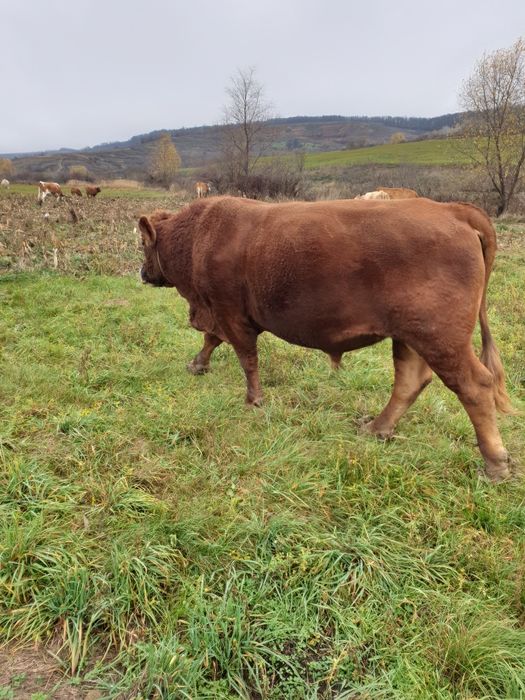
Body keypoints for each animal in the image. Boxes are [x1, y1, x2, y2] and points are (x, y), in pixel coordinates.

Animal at [138, 196, 513, 482]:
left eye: (142, 245)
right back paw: (376, 429)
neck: (200, 236)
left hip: (442, 339)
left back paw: (495, 464)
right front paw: (197, 365)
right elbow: (212, 341)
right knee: (409, 382)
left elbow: (246, 357)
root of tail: (453, 209)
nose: (142, 273)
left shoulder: (230, 312)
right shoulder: (222, 314)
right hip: (410, 337)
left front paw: (253, 400)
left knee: (475, 386)